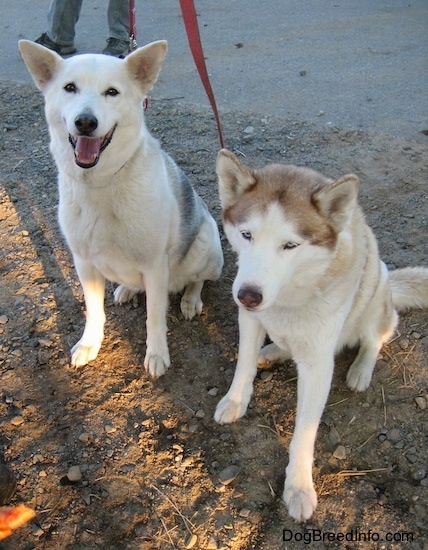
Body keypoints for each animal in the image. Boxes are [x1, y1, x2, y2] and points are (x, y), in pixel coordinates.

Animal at [18, 41, 222, 380]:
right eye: (69, 88)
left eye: (111, 92)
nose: (85, 122)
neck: (101, 183)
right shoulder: (84, 263)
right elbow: (93, 311)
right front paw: (90, 343)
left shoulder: (155, 266)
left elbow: (155, 318)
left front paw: (156, 354)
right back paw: (127, 288)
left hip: (205, 245)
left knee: (198, 279)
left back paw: (191, 299)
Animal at [214, 149, 428, 524]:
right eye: (247, 234)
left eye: (290, 245)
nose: (248, 295)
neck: (289, 295)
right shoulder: (250, 319)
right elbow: (243, 364)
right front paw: (236, 400)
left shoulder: (317, 366)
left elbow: (304, 431)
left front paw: (299, 487)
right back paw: (273, 351)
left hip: (376, 290)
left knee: (376, 337)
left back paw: (361, 369)